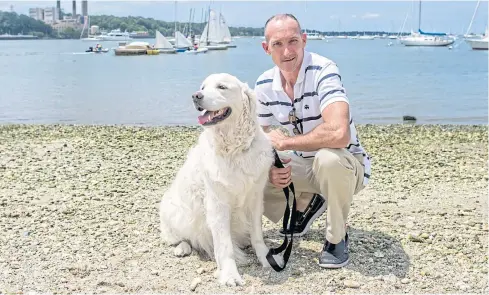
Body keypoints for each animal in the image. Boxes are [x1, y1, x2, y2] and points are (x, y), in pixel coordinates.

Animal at [160, 73, 282, 286]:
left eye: (222, 87)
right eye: (202, 87)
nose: (196, 96)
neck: (234, 149)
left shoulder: (255, 198)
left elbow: (257, 235)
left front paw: (266, 258)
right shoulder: (218, 204)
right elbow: (225, 246)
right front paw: (230, 275)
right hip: (174, 211)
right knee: (181, 237)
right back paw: (182, 248)